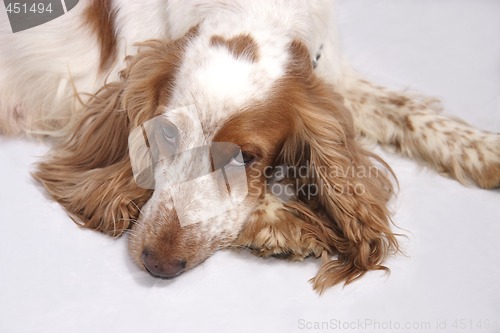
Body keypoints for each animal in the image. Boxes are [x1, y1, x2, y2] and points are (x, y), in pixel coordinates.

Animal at [1, 0, 498, 292]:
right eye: (165, 134)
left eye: (244, 157)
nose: (157, 263)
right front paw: (287, 225)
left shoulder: (332, 76)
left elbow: (403, 109)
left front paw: (482, 148)